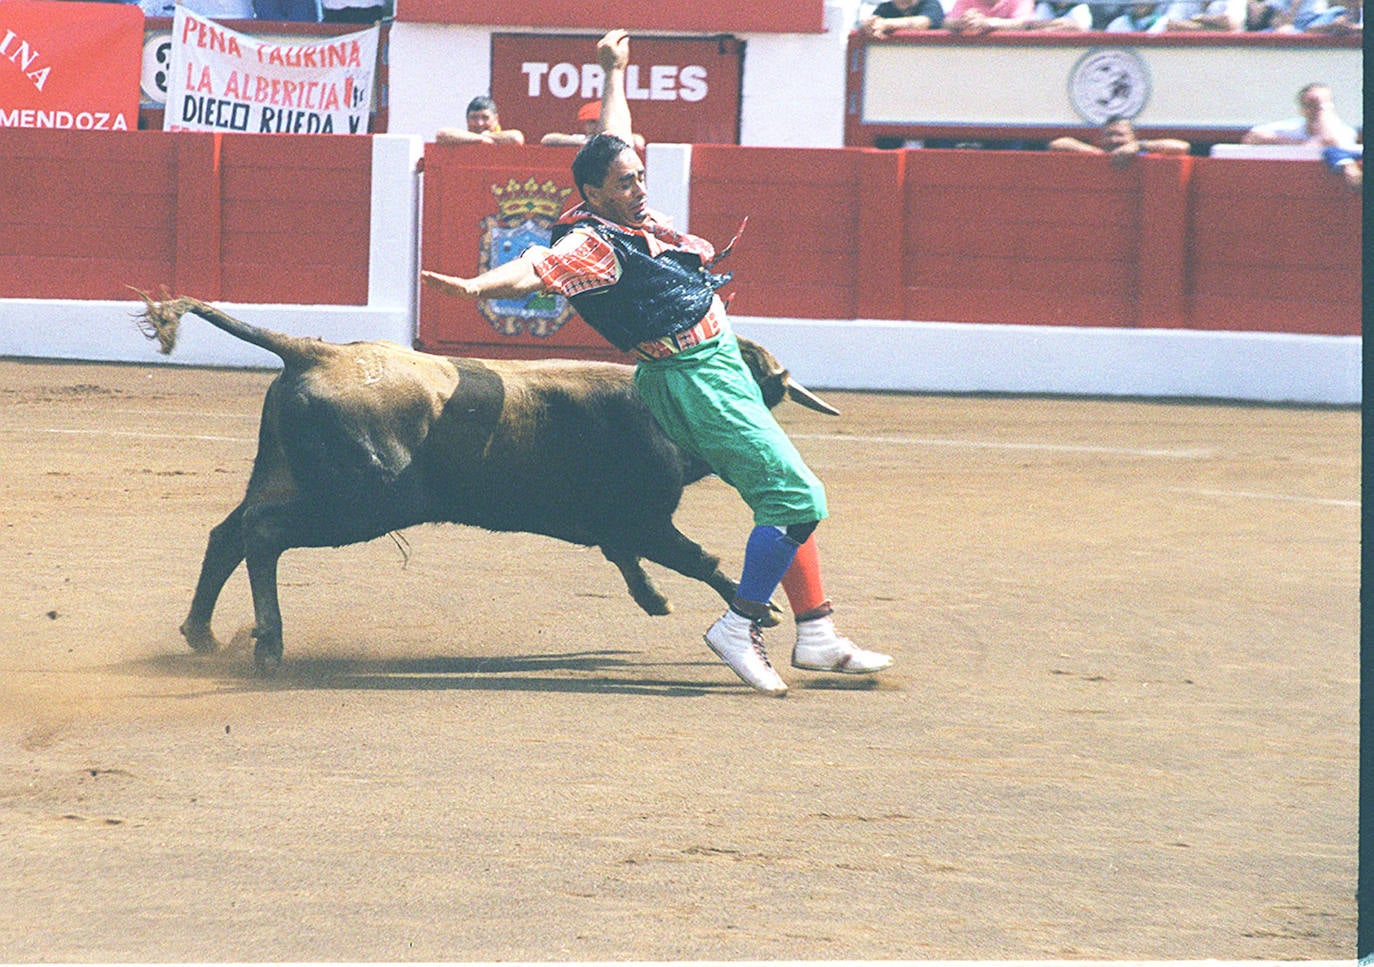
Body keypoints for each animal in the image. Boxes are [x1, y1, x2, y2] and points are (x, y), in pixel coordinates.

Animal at [136, 293, 835, 673]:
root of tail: (315, 350)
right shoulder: (646, 519)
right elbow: (698, 558)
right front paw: (762, 610)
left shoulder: (620, 526)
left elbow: (630, 561)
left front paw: (655, 600)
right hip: (358, 505)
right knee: (262, 534)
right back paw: (269, 645)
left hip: (287, 480)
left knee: (227, 534)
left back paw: (203, 634)